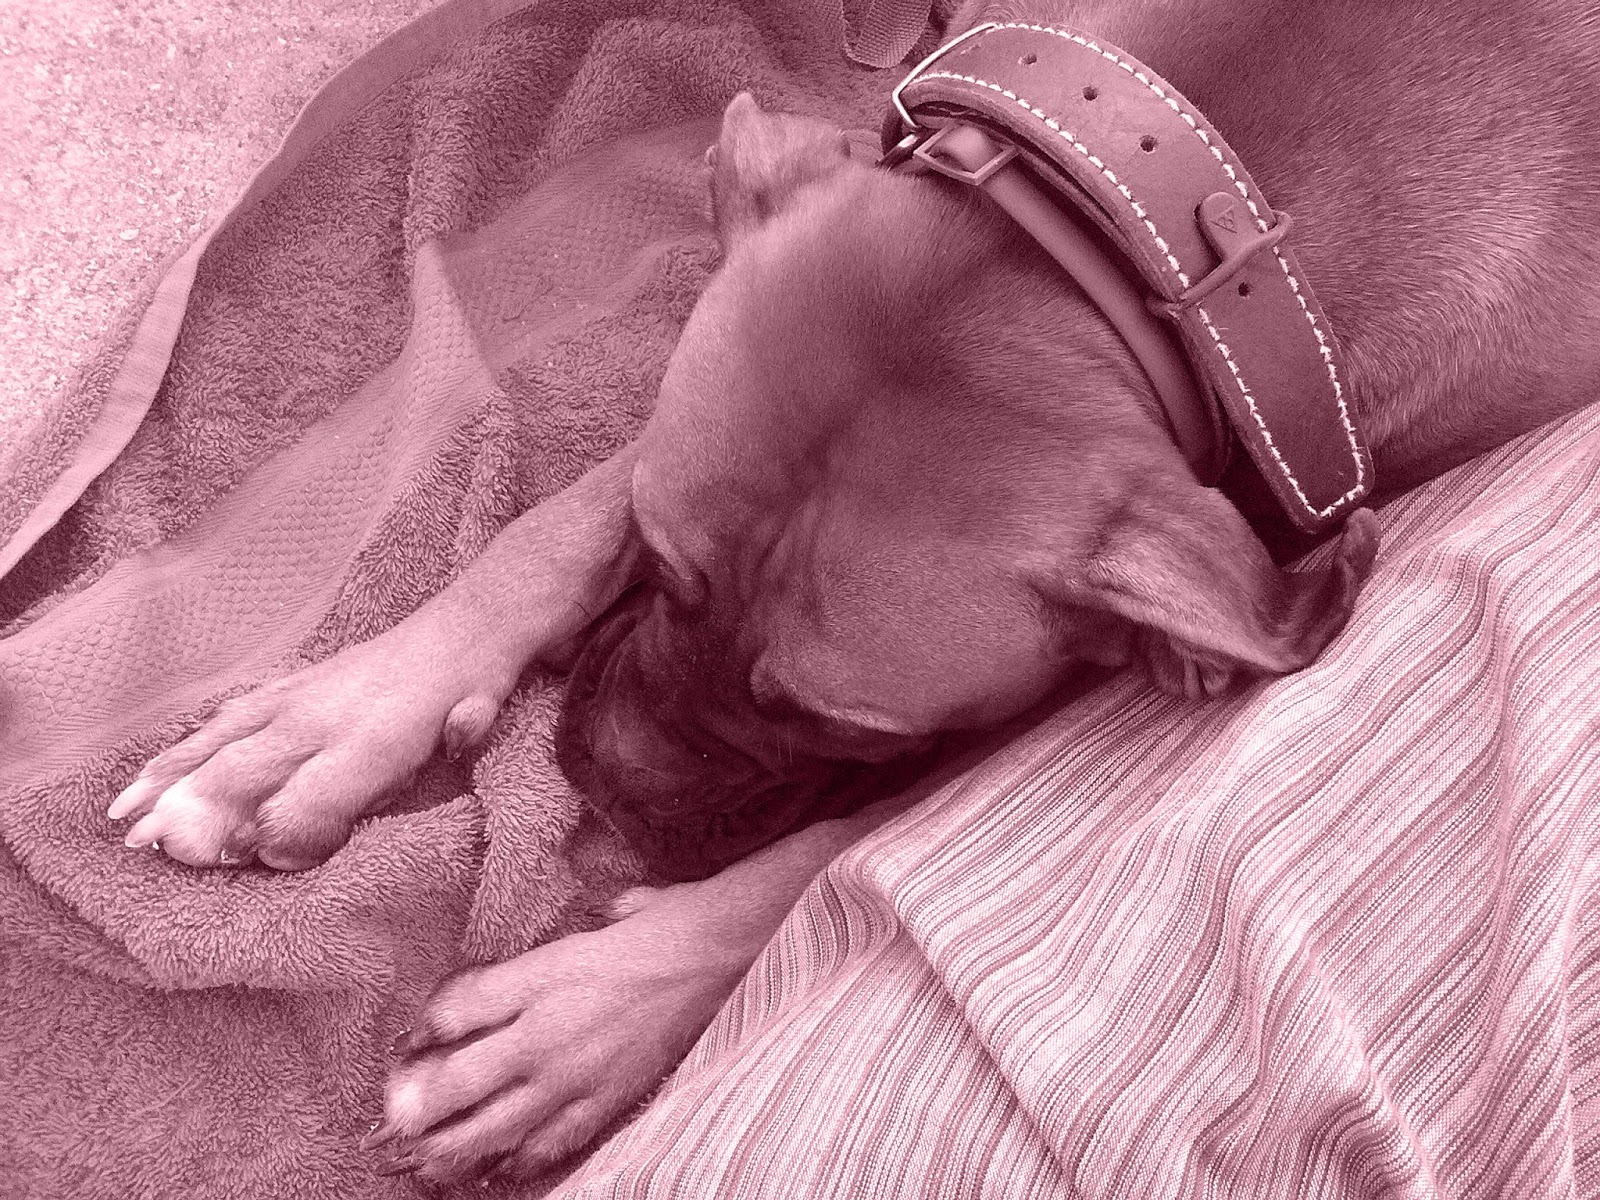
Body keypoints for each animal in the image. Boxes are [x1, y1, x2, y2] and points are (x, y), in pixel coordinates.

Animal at [106, 0, 1600, 1183]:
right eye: (663, 560)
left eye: (843, 725)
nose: (599, 783)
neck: (1142, 244)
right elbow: (552, 521)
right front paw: (331, 722)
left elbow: (831, 853)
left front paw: (581, 1020)